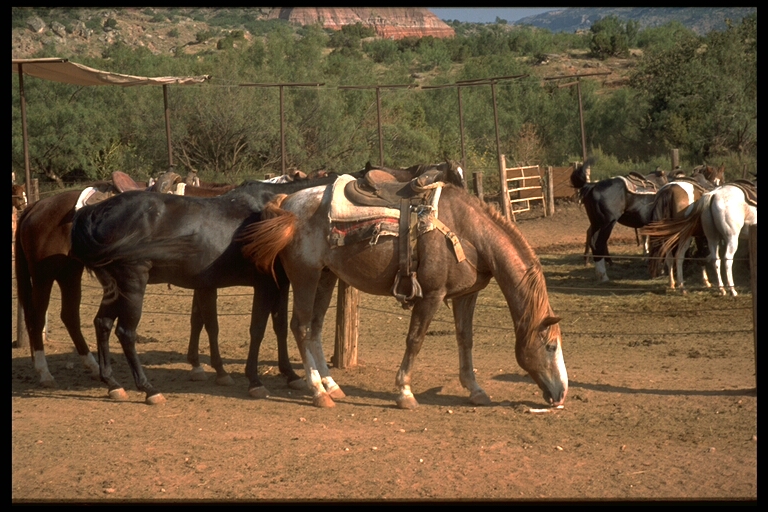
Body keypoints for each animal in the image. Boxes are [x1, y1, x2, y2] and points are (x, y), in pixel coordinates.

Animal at [237, 178, 568, 410]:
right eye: (550, 346)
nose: (562, 393)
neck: (469, 233)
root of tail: (288, 202)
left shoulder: (465, 296)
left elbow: (465, 339)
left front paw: (475, 389)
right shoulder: (431, 296)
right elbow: (415, 340)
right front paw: (405, 393)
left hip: (326, 277)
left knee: (315, 328)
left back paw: (331, 385)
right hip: (305, 276)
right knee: (302, 326)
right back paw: (319, 392)